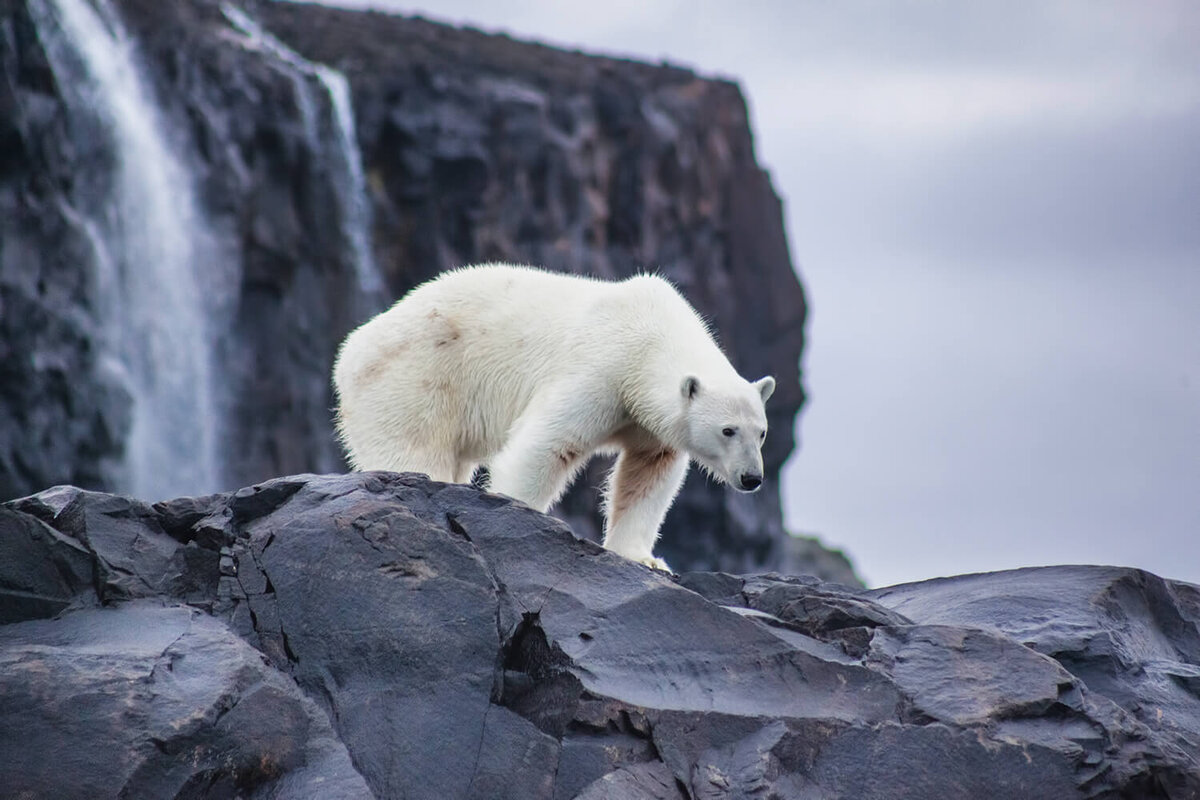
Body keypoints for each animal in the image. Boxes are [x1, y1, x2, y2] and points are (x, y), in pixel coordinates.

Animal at [333, 266, 772, 573]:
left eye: (762, 433)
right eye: (728, 430)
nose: (752, 477)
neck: (649, 337)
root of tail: (351, 349)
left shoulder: (648, 422)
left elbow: (648, 475)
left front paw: (644, 558)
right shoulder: (601, 369)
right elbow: (547, 444)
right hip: (414, 378)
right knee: (412, 446)